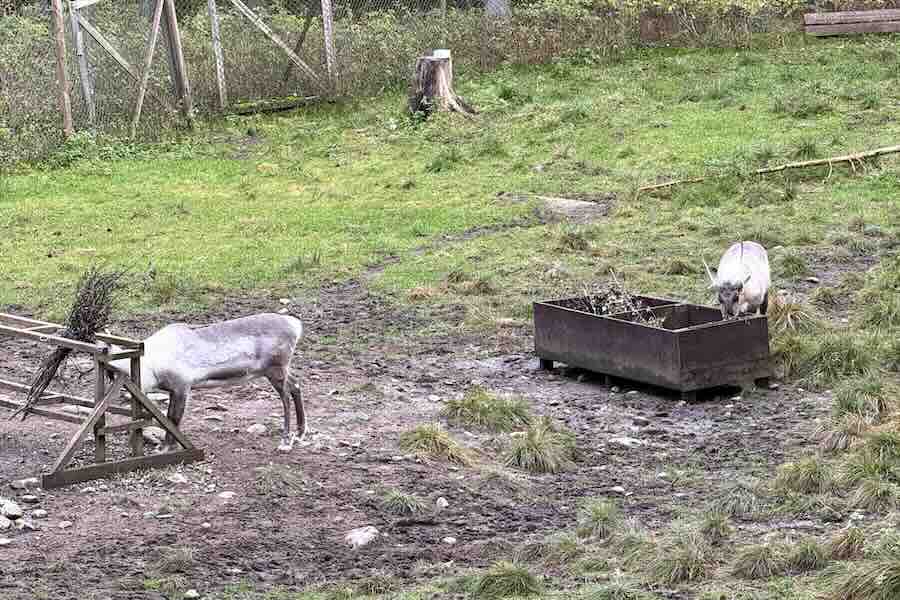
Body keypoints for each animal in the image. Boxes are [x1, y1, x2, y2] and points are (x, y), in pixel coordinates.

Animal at [105, 313, 306, 453]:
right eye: (110, 374)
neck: (153, 361)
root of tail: (295, 325)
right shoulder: (174, 390)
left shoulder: (182, 387)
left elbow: (173, 419)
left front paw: (165, 447)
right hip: (280, 371)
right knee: (296, 386)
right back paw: (300, 432)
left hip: (276, 370)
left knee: (286, 397)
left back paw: (285, 441)